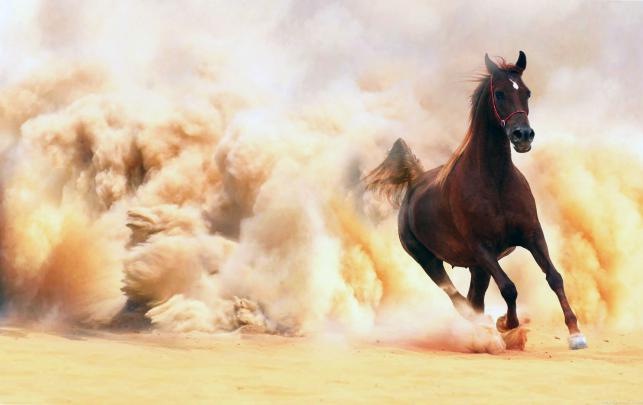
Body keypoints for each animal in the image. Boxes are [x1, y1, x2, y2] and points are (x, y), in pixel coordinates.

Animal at [364, 51, 587, 350]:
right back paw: (485, 332)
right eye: (500, 93)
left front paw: (575, 334)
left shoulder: (532, 235)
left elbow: (554, 277)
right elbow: (509, 287)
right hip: (429, 260)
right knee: (459, 300)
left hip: (476, 268)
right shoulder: (482, 247)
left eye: (526, 92)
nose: (523, 135)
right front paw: (506, 324)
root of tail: (415, 182)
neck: (496, 182)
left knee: (473, 298)